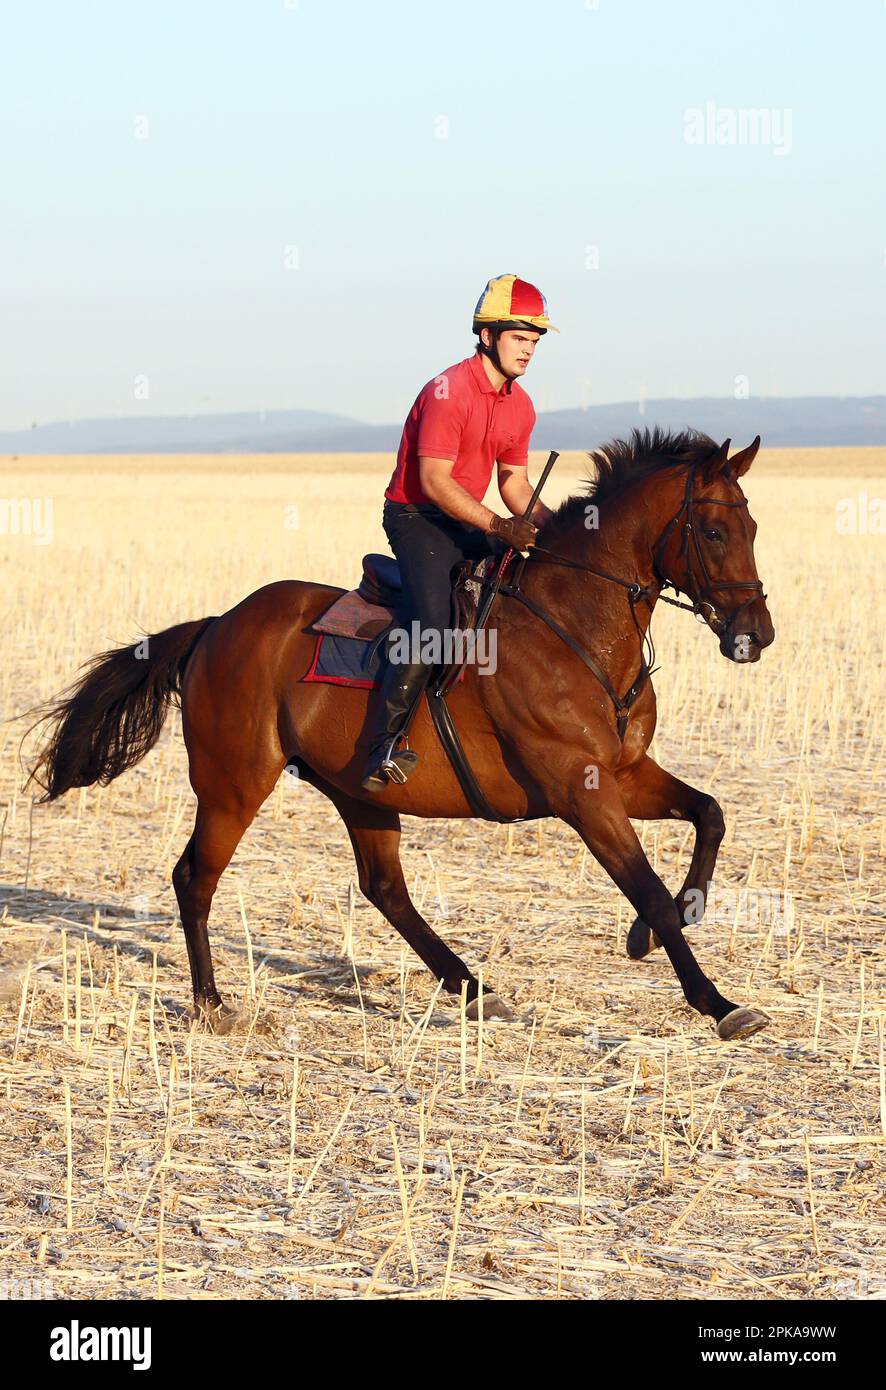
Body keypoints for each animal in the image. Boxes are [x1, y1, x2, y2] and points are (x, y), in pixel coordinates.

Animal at [27, 428, 773, 1039]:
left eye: (753, 527)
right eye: (713, 533)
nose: (755, 634)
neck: (573, 625)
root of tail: (215, 626)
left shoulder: (624, 773)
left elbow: (709, 816)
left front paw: (652, 932)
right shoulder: (579, 789)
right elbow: (645, 884)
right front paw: (719, 1002)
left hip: (358, 791)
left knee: (385, 888)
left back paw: (472, 988)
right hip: (234, 785)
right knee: (194, 878)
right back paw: (213, 1003)